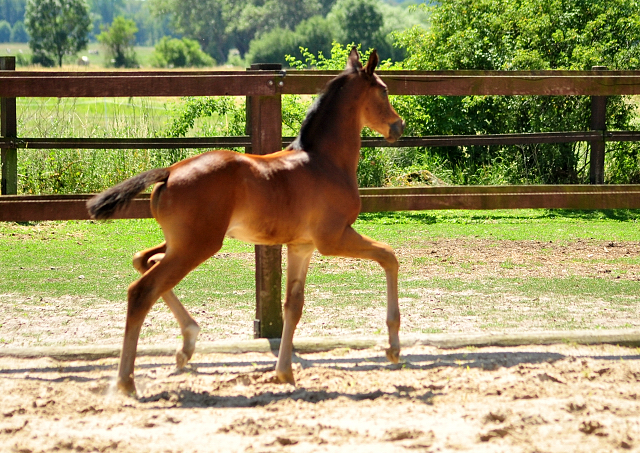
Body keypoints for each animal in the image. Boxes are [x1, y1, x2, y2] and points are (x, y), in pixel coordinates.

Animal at [87, 47, 404, 394]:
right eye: (383, 90)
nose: (398, 126)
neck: (323, 162)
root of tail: (169, 172)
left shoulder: (302, 246)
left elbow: (293, 306)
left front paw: (284, 373)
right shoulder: (333, 239)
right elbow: (390, 256)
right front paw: (393, 348)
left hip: (180, 243)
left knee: (143, 260)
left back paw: (187, 344)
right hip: (197, 246)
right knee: (142, 291)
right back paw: (126, 380)